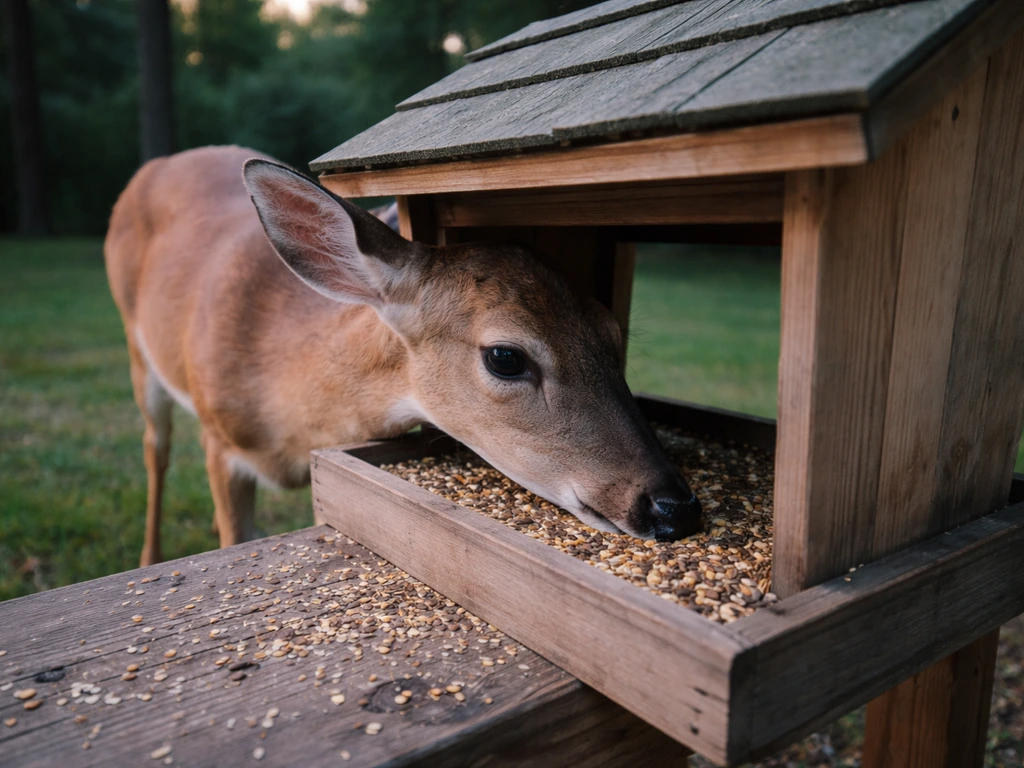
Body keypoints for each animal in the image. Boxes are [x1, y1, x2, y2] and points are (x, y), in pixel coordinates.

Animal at [104, 145, 702, 566]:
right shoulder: (218, 437)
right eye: (505, 357)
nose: (675, 508)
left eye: (613, 331)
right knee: (154, 447)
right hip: (135, 345)